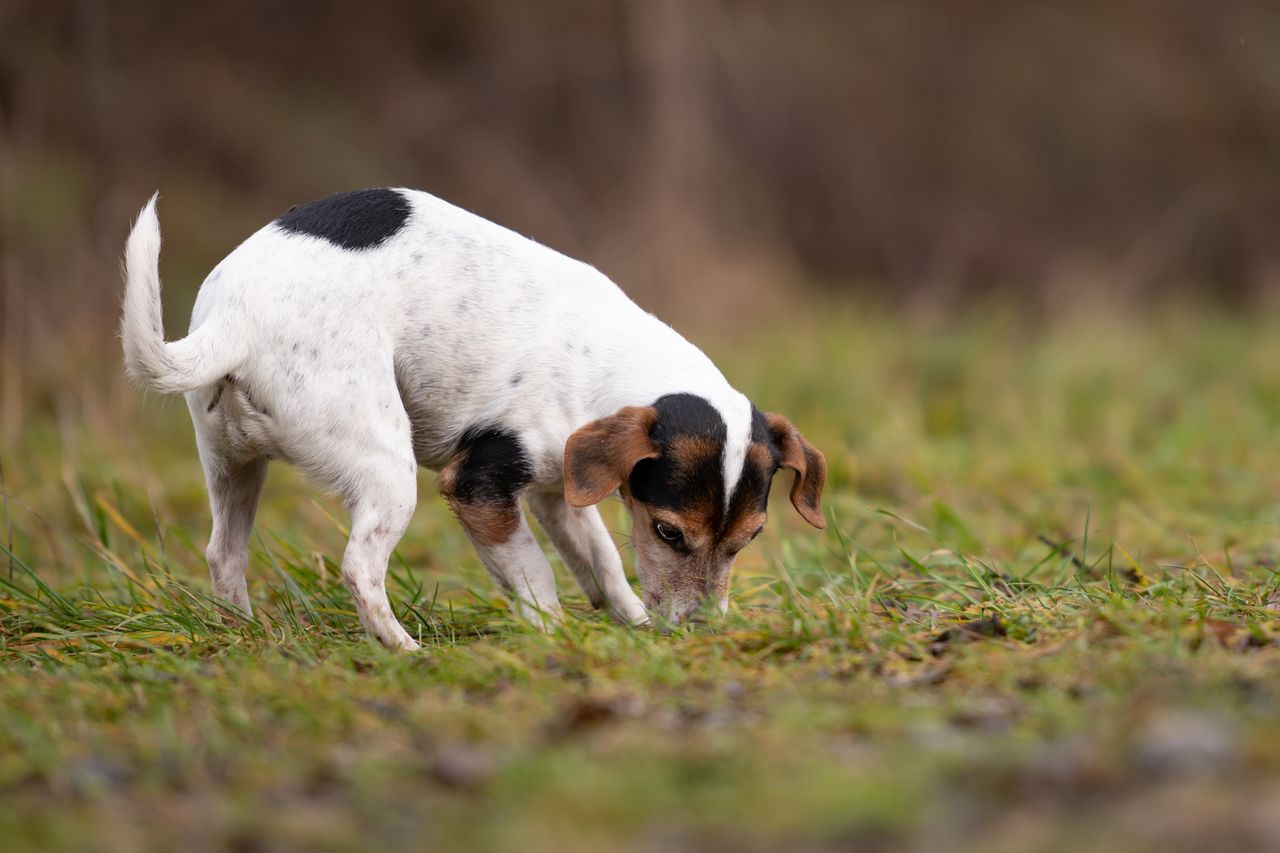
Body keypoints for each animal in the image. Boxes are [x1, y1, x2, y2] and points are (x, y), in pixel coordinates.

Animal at [122, 188, 829, 650]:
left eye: (748, 541)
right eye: (668, 532)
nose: (702, 632)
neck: (606, 363)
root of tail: (235, 321)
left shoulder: (558, 491)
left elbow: (602, 560)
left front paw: (631, 624)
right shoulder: (480, 487)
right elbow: (536, 573)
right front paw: (552, 636)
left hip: (232, 465)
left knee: (223, 553)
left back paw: (243, 634)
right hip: (388, 470)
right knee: (359, 567)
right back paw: (404, 651)